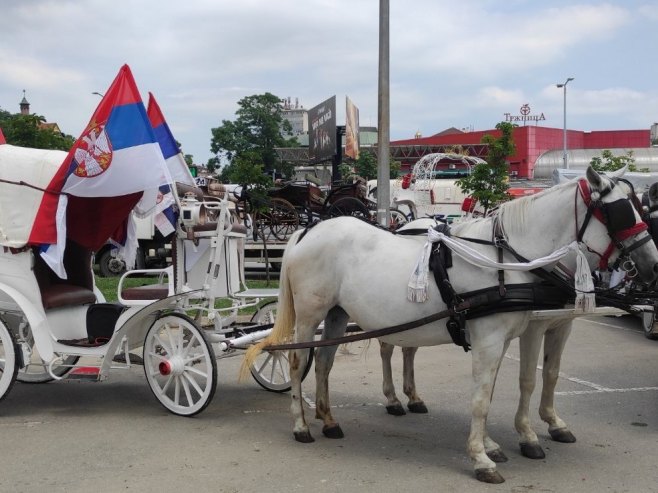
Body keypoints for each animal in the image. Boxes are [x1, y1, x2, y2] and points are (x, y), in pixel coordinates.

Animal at [241, 167, 656, 482]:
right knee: (297, 362)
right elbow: (484, 398)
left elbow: (501, 390)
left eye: (639, 207)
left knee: (326, 363)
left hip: (338, 314)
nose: (651, 264)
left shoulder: (510, 337)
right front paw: (483, 458)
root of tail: (307, 231)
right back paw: (301, 426)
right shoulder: (495, 338)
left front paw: (494, 444)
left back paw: (328, 419)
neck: (509, 261)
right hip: (310, 315)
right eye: (621, 212)